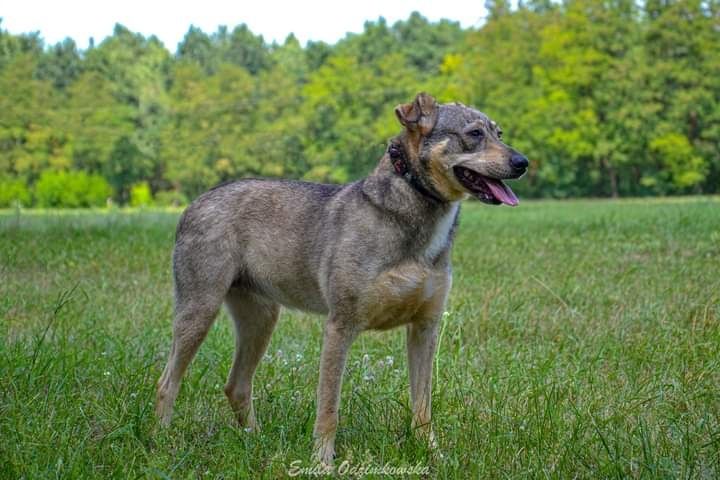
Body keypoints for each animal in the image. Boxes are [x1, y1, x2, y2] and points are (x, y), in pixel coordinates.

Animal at [156, 92, 528, 464]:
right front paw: (322, 461)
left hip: (261, 320)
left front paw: (432, 455)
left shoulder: (425, 328)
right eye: (474, 134)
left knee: (236, 386)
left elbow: (423, 407)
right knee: (167, 383)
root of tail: (195, 202)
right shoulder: (340, 326)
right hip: (199, 313)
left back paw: (256, 440)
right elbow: (329, 408)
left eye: (499, 133)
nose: (523, 162)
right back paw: (163, 441)